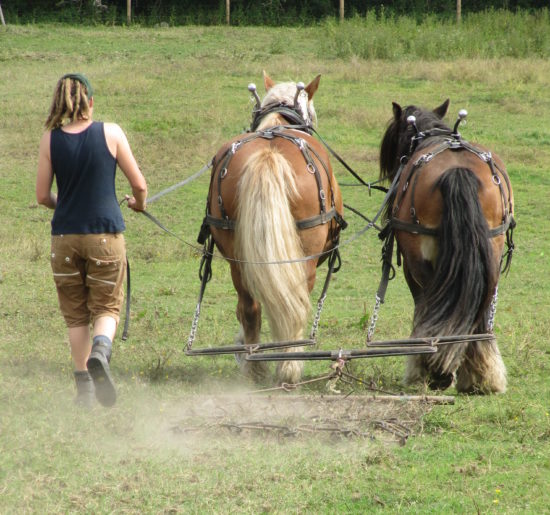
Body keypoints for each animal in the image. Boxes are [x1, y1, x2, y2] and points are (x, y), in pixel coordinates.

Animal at [198, 73, 344, 388]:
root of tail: (268, 155)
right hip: (305, 254)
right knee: (296, 303)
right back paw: (288, 366)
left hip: (237, 256)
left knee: (249, 308)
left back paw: (254, 366)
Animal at [382, 101, 516, 396]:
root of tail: (457, 171)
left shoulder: (411, 267)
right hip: (490, 250)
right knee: (479, 305)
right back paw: (481, 375)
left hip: (421, 261)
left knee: (431, 302)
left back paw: (436, 370)